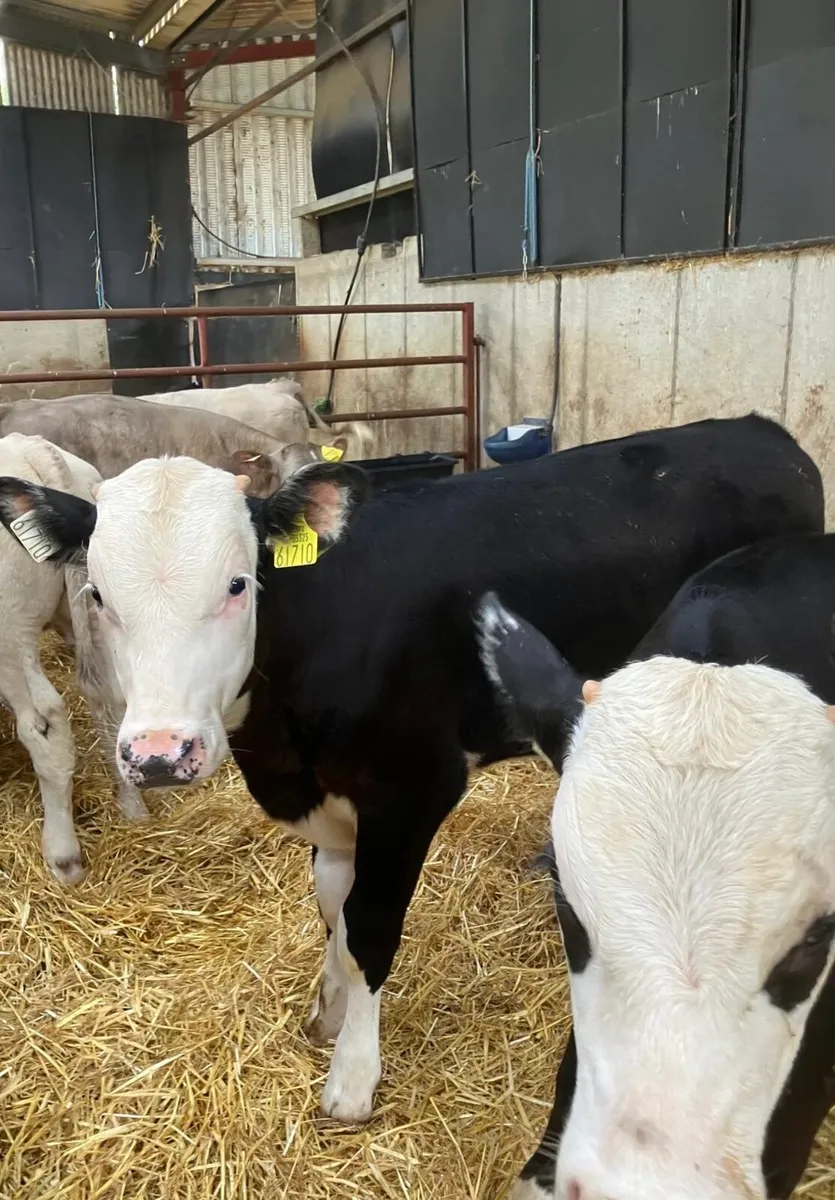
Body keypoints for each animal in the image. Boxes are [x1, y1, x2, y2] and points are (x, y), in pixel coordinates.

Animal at [0, 413, 823, 1125]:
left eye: (237, 584)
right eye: (97, 594)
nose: (159, 754)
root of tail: (757, 429)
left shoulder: (409, 792)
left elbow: (369, 926)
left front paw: (352, 1078)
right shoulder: (329, 803)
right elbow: (332, 907)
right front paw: (329, 1009)